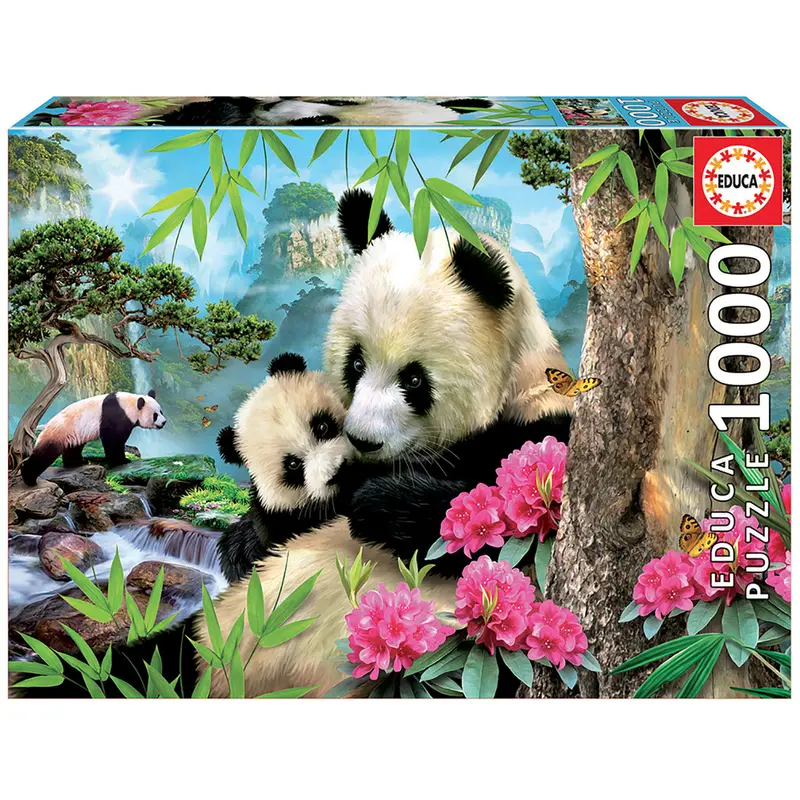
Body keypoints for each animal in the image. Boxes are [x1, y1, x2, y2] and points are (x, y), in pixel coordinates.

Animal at [20, 391, 166, 486]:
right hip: (59, 432)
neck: (129, 404)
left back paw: (78, 462)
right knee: (44, 454)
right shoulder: (116, 415)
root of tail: (45, 427)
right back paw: (29, 478)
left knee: (73, 449)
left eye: (161, 411)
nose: (164, 422)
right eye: (155, 415)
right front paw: (122, 460)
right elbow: (113, 440)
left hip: (73, 434)